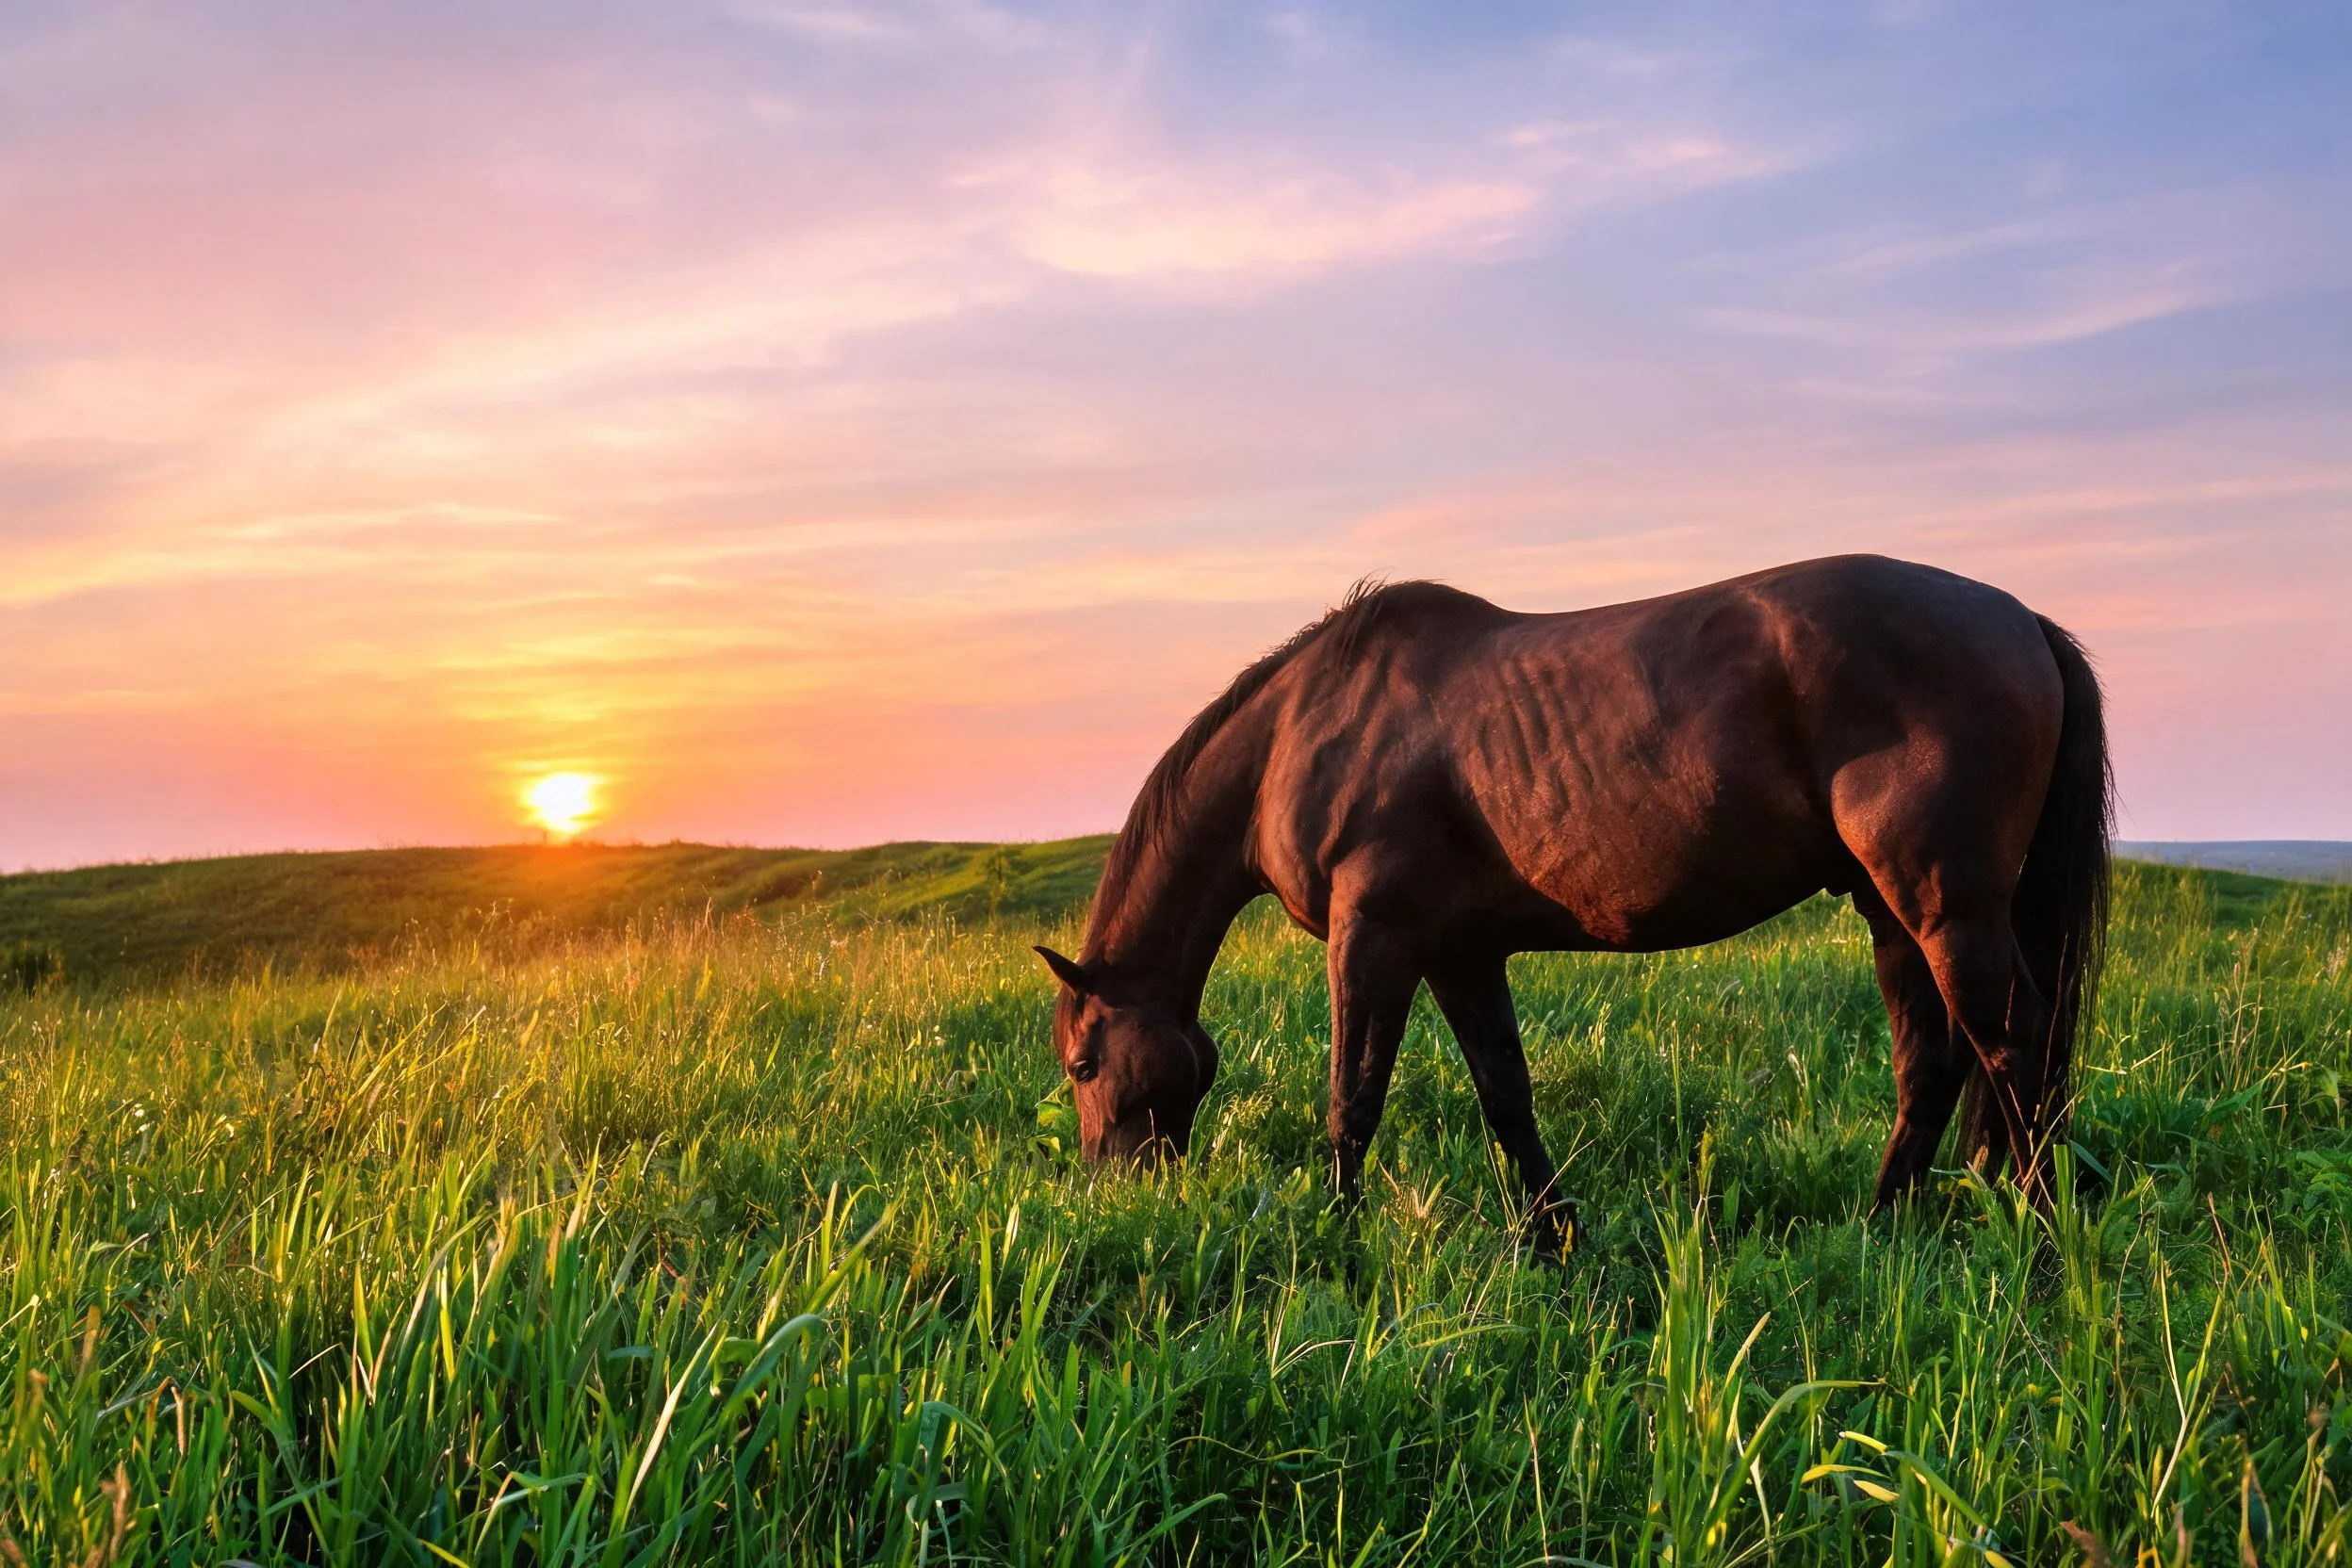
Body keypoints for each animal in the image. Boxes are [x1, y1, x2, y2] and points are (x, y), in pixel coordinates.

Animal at [1035, 555, 2111, 1254]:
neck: (1302, 730)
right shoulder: (1459, 952)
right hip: (1894, 913)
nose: (1114, 1192)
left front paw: (1338, 1245)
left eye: (1084, 1062)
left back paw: (2035, 1230)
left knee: (2014, 1044)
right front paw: (1555, 1234)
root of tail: (2025, 621)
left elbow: (1352, 1100)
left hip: (1945, 906)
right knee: (1933, 1059)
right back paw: (1884, 1224)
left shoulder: (1370, 935)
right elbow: (1505, 1093)